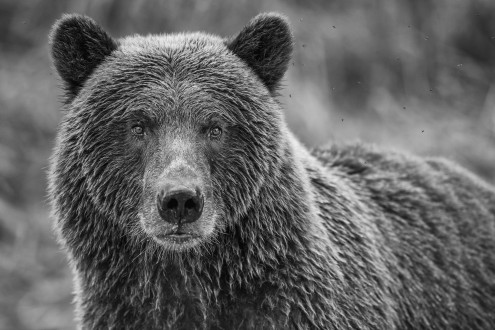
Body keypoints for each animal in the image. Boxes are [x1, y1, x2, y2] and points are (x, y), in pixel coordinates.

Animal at [48, 11, 495, 328]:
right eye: (138, 125)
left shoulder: (300, 305)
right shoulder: (124, 310)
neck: (194, 276)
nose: (180, 201)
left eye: (215, 126)